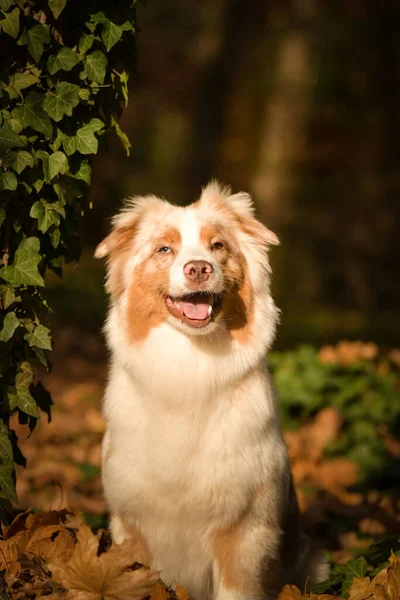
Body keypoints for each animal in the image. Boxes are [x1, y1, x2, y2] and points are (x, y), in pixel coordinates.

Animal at [95, 183, 326, 600]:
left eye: (217, 246)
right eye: (164, 249)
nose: (199, 268)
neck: (190, 362)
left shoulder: (245, 528)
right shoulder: (130, 521)